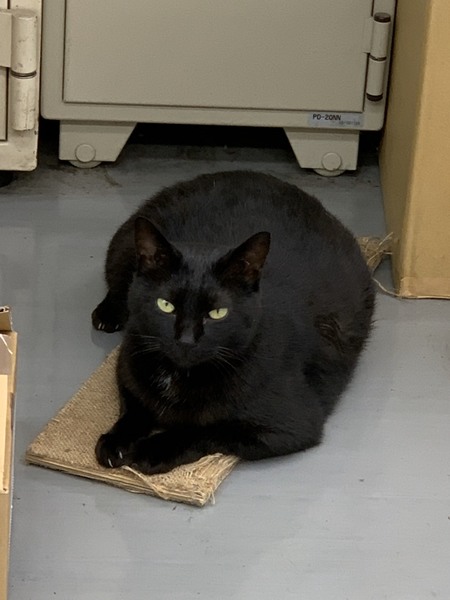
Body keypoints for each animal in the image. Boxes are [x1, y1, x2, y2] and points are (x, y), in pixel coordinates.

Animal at [92, 171, 375, 475]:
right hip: (121, 249)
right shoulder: (127, 367)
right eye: (165, 305)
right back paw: (106, 315)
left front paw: (153, 449)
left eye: (218, 312)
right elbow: (133, 408)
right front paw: (116, 440)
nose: (186, 340)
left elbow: (206, 430)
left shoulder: (290, 424)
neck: (180, 376)